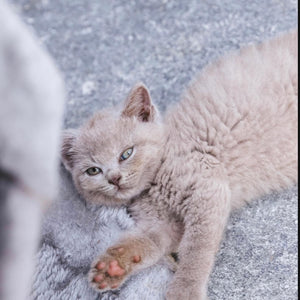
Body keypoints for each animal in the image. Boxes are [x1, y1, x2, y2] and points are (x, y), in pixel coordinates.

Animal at [61, 28, 298, 300]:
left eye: (126, 153)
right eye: (93, 170)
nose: (114, 178)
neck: (155, 186)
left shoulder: (207, 186)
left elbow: (196, 248)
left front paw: (185, 289)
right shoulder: (160, 224)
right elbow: (146, 242)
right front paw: (112, 267)